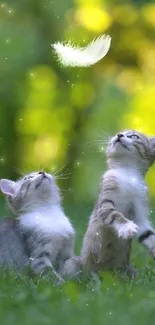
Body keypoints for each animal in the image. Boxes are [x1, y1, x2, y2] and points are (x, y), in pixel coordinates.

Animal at [80, 130, 155, 278]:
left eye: (133, 136)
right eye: (119, 133)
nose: (119, 135)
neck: (127, 174)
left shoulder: (141, 209)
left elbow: (148, 234)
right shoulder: (105, 203)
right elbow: (114, 214)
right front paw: (126, 227)